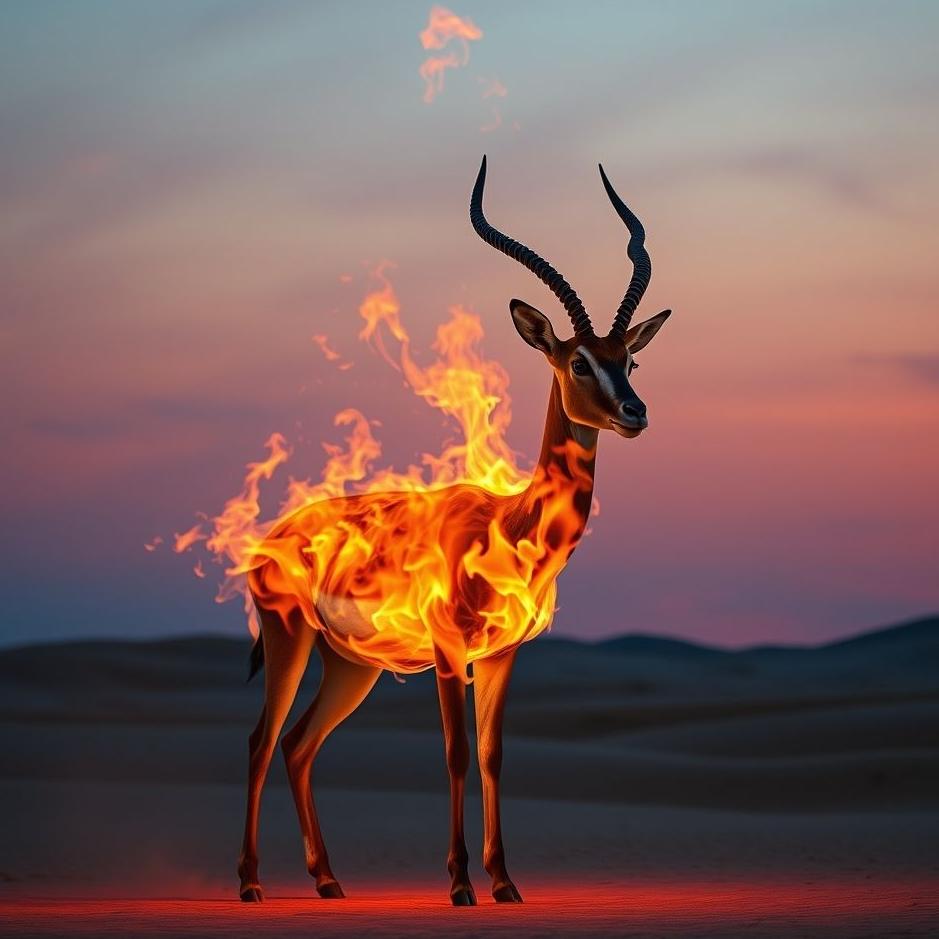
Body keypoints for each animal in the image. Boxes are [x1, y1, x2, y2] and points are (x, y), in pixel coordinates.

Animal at [238, 156, 672, 905]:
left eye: (630, 359)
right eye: (578, 360)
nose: (634, 411)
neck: (511, 521)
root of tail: (271, 537)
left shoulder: (501, 655)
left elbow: (494, 755)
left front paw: (504, 881)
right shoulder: (449, 652)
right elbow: (456, 754)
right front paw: (462, 882)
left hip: (352, 664)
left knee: (298, 744)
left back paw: (328, 880)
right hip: (290, 639)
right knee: (261, 741)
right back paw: (250, 884)